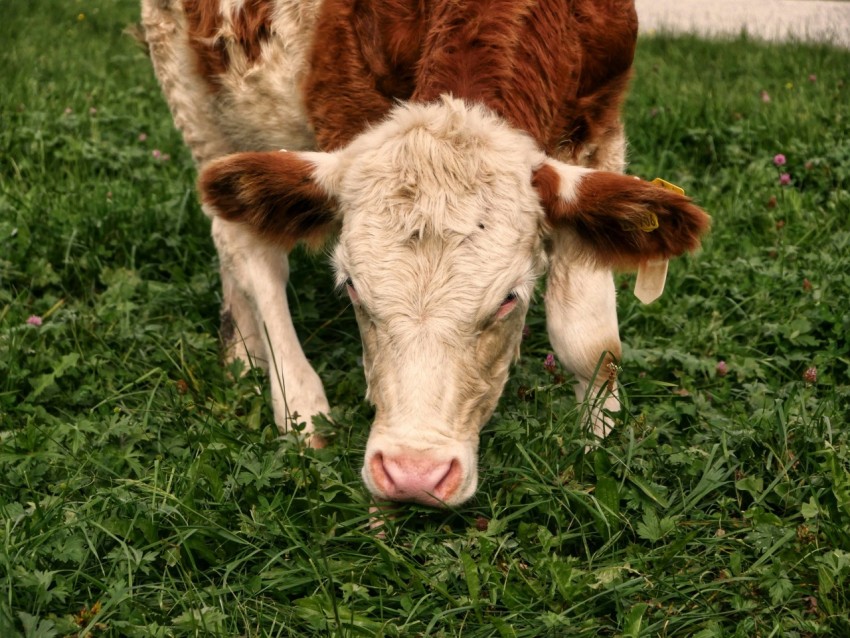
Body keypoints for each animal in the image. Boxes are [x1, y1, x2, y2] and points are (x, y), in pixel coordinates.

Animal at [141, 0, 708, 510]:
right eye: (352, 289)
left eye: (510, 299)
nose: (413, 475)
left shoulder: (601, 126)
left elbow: (590, 342)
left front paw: (600, 448)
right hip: (189, 83)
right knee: (248, 250)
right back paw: (297, 404)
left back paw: (243, 353)